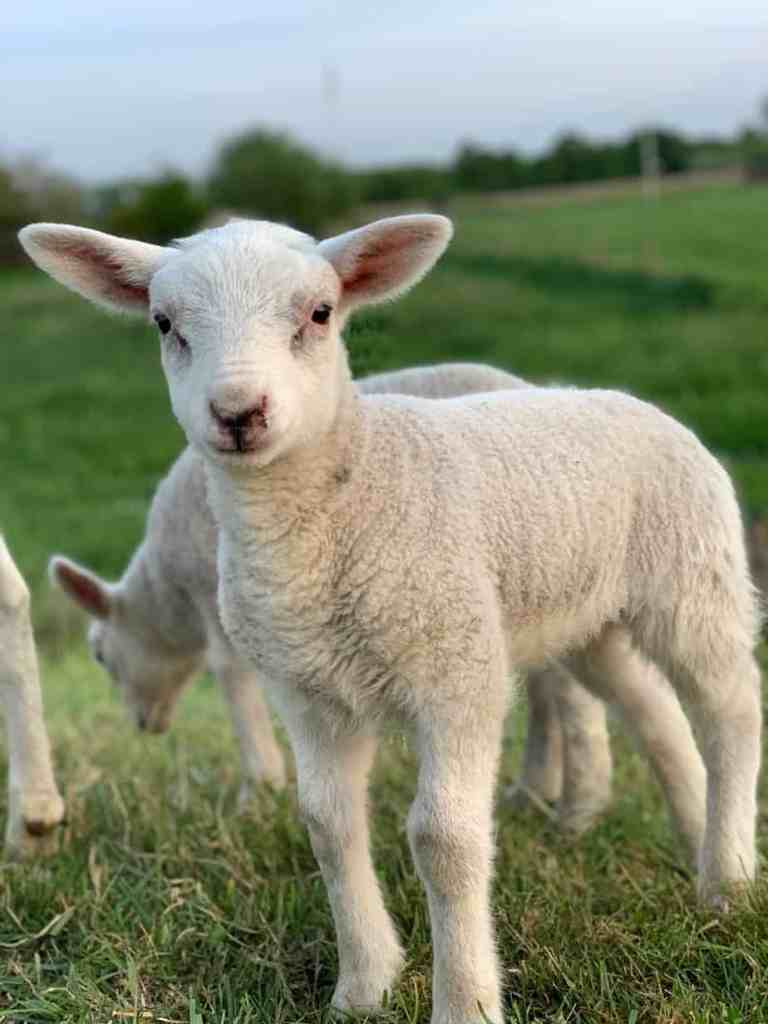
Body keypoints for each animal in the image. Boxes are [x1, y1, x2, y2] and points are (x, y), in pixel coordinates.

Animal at [20, 216, 762, 1024]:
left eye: (320, 314)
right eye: (164, 323)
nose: (238, 413)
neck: (341, 508)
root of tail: (628, 401)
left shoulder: (456, 673)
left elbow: (443, 840)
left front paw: (465, 999)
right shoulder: (310, 692)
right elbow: (328, 826)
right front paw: (364, 986)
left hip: (693, 581)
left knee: (729, 712)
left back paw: (729, 877)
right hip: (588, 619)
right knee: (652, 710)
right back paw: (694, 843)